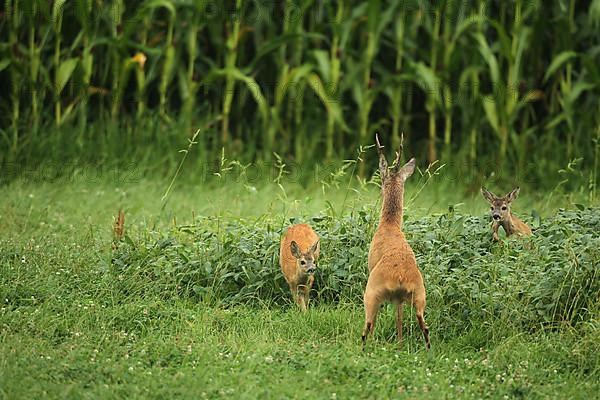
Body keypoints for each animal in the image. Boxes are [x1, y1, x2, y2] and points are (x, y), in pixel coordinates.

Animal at [360, 134, 432, 350]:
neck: (390, 225)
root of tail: (400, 276)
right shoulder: (400, 298)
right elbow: (399, 316)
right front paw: (399, 342)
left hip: (371, 292)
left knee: (368, 324)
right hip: (419, 295)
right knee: (424, 326)